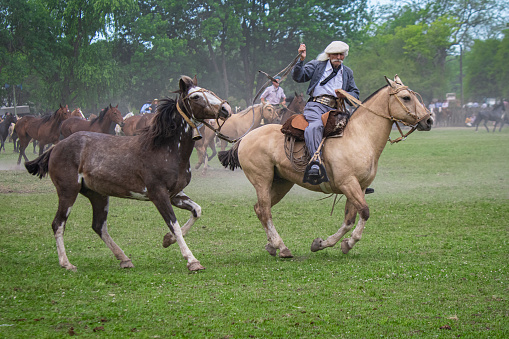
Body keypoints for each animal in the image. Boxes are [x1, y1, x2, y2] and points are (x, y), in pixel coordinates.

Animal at [23, 75, 230, 272]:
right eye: (195, 97)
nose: (225, 109)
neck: (165, 148)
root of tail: (56, 147)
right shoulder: (159, 194)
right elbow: (175, 225)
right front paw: (192, 260)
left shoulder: (175, 194)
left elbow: (196, 211)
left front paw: (167, 240)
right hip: (68, 191)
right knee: (58, 224)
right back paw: (66, 263)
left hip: (97, 195)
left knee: (98, 226)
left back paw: (124, 259)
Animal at [218, 75, 432, 258]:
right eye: (406, 98)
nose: (429, 120)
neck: (359, 136)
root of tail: (244, 138)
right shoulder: (348, 184)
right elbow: (364, 212)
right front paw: (345, 243)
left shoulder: (359, 187)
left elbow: (349, 220)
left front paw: (325, 243)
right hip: (262, 180)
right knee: (265, 210)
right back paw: (282, 247)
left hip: (281, 183)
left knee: (260, 209)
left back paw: (272, 246)